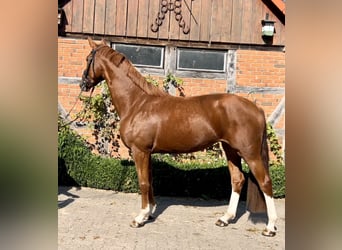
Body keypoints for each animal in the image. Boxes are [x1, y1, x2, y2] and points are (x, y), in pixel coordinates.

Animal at [81, 37, 278, 236]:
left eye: (88, 58)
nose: (83, 83)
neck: (137, 103)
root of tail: (257, 109)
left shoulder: (140, 151)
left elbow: (143, 183)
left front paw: (140, 217)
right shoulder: (148, 153)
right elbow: (150, 181)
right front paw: (150, 212)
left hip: (250, 153)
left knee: (265, 182)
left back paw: (270, 227)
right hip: (230, 150)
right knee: (237, 180)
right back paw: (225, 219)